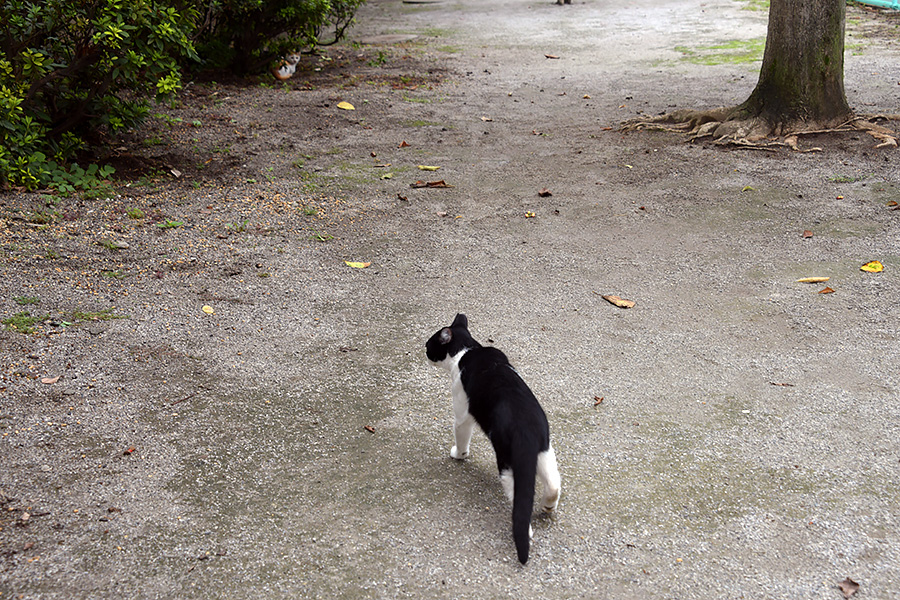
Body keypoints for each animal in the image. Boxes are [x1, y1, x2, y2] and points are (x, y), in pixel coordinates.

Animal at [426, 312, 560, 564]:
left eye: (429, 345)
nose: (424, 350)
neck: (468, 350)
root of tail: (524, 428)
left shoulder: (462, 412)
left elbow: (461, 436)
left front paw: (458, 455)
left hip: (507, 463)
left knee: (520, 505)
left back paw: (526, 532)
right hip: (545, 451)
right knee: (554, 484)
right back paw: (548, 506)